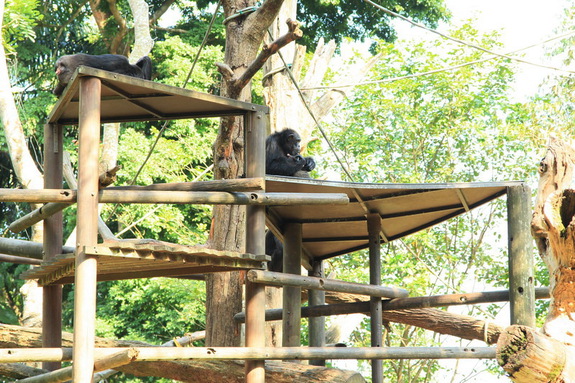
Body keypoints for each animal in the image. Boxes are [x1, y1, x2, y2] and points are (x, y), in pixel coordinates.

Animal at [264, 129, 316, 272]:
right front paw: (300, 161)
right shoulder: (271, 143)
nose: (299, 146)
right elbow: (270, 165)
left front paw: (310, 161)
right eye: (297, 141)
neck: (282, 144)